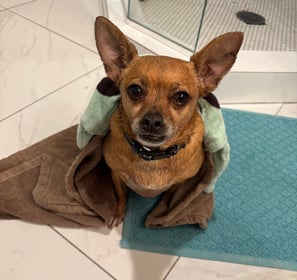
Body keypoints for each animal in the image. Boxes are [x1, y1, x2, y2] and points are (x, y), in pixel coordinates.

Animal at [95, 15, 243, 228]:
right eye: (135, 90)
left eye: (181, 97)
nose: (152, 121)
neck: (152, 156)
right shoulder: (115, 175)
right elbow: (121, 196)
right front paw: (118, 213)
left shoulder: (179, 183)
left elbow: (169, 195)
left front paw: (162, 210)